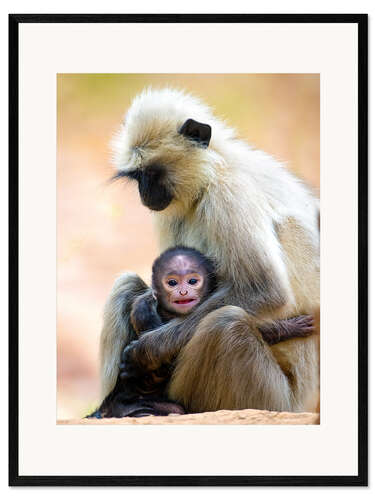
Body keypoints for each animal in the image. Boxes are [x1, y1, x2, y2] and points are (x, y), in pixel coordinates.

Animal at [100, 88, 320, 412]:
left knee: (226, 324)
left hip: (273, 400)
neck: (217, 168)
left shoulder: (229, 192)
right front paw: (143, 311)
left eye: (152, 174)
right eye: (139, 177)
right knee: (127, 284)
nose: (144, 194)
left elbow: (264, 291)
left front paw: (146, 351)